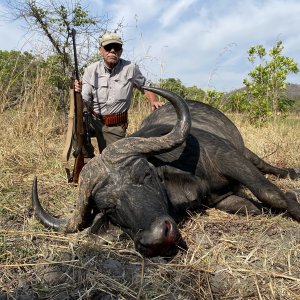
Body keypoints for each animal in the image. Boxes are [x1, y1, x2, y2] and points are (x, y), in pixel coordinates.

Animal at [31, 86, 300, 258]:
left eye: (145, 175)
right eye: (108, 208)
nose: (157, 241)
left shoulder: (227, 157)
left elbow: (269, 192)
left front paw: (294, 204)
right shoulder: (221, 198)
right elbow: (252, 208)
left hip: (244, 152)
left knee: (265, 167)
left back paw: (291, 173)